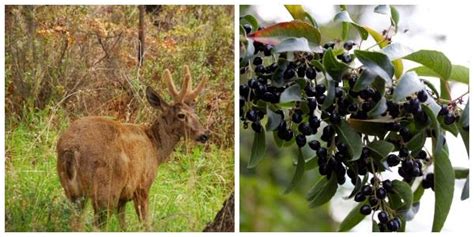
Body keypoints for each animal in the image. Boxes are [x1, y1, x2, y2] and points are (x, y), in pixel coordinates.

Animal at [56, 65, 208, 231]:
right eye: (181, 115)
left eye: (195, 113)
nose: (204, 135)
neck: (155, 148)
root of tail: (71, 149)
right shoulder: (142, 186)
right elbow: (145, 222)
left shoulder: (123, 197)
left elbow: (123, 224)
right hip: (106, 188)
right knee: (98, 225)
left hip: (71, 190)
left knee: (75, 222)